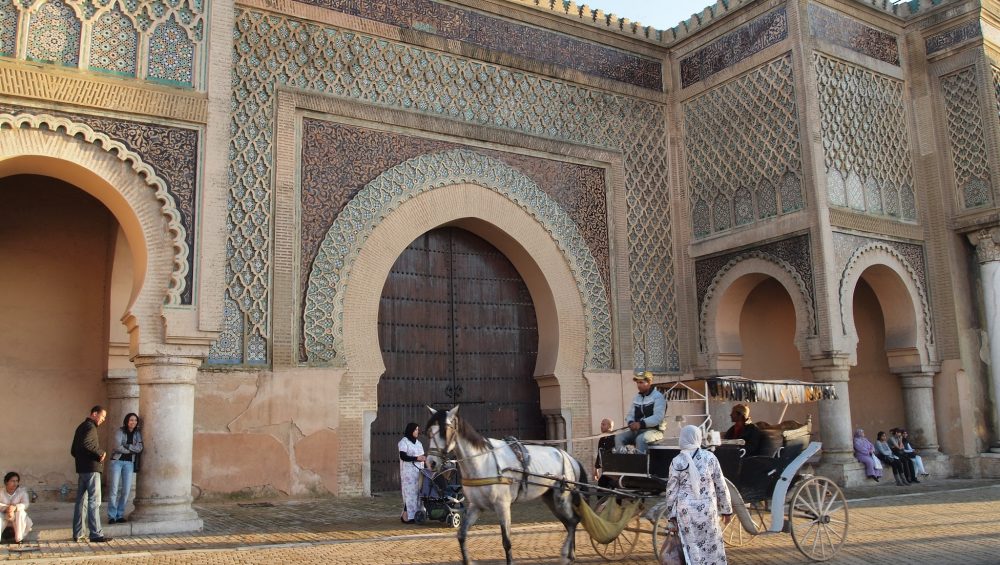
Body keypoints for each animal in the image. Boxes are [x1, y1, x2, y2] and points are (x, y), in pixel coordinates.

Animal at [424, 406, 584, 564]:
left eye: (445, 431)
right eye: (430, 432)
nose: (431, 462)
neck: (483, 461)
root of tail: (569, 457)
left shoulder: (502, 505)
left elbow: (507, 542)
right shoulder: (476, 506)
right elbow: (461, 535)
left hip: (561, 498)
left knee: (573, 521)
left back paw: (566, 554)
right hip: (550, 499)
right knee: (569, 523)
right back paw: (570, 555)